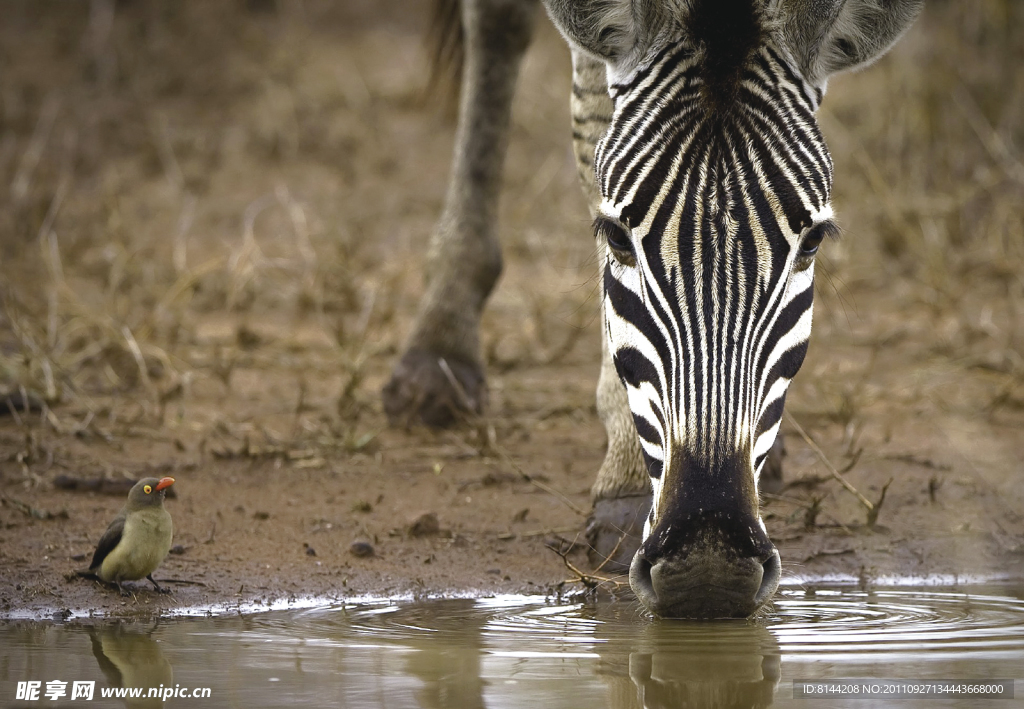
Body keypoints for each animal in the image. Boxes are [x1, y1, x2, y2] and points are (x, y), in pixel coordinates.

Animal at [380, 0, 925, 618]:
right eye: (616, 235)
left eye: (812, 242)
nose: (709, 565)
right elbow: (592, 117)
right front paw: (627, 481)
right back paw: (439, 348)